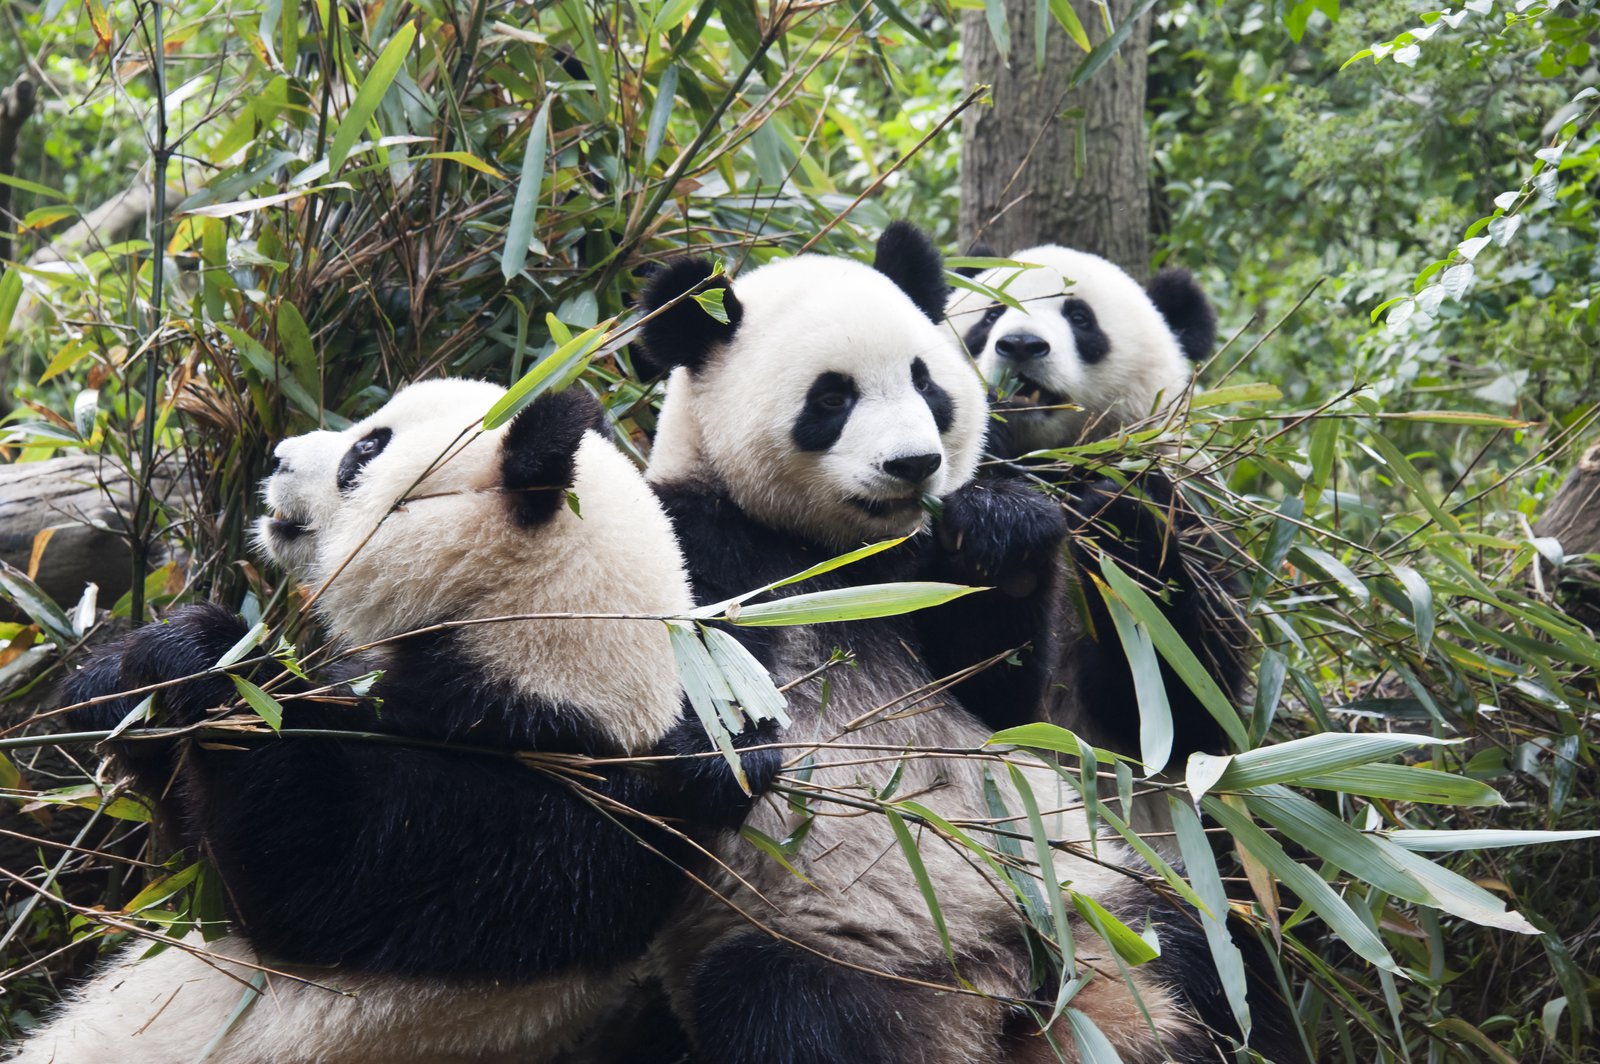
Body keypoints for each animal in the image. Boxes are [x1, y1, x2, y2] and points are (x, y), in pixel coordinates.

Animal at [8, 379, 777, 1064]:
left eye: (366, 451)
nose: (278, 456)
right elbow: (183, 846)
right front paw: (116, 680)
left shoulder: (543, 809)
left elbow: (304, 873)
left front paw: (208, 656)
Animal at [945, 245, 1250, 764]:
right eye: (989, 315)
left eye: (1080, 318)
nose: (1021, 345)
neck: (1055, 461)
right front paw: (1000, 524)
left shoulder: (1186, 507)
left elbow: (1188, 704)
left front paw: (1115, 522)